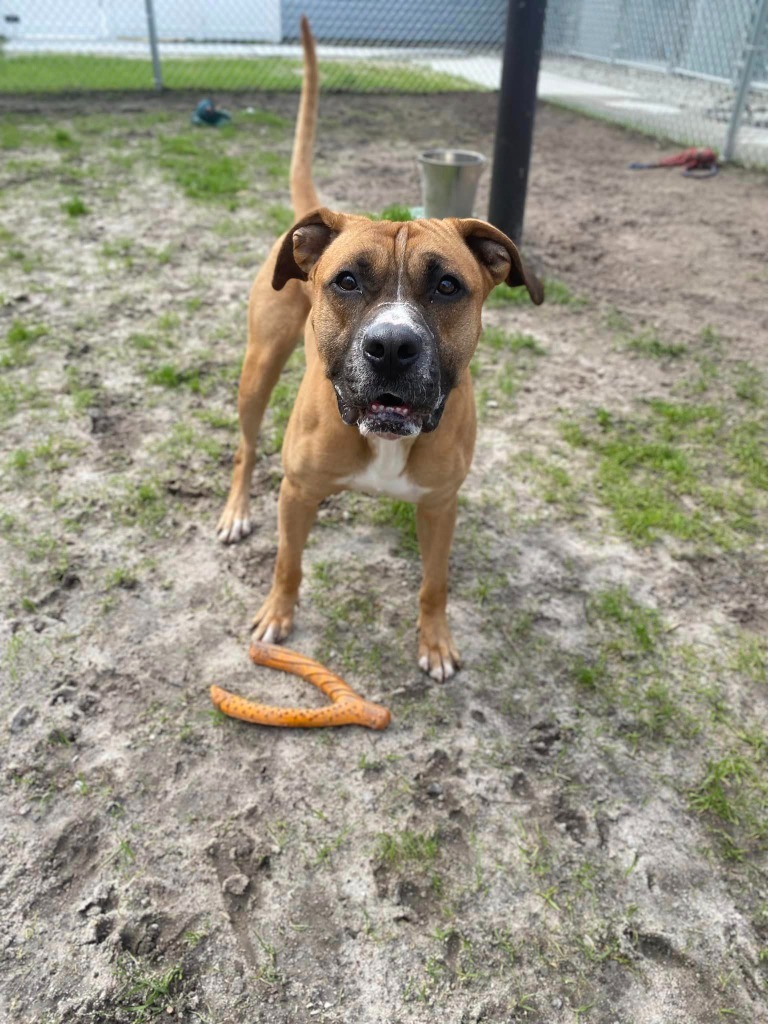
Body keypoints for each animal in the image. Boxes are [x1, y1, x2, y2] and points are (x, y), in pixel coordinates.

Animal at [217, 18, 540, 679]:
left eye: (448, 286)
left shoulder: (441, 506)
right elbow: (287, 562)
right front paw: (277, 616)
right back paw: (236, 510)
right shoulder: (296, 492)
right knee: (245, 446)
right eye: (347, 281)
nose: (391, 346)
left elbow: (434, 583)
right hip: (258, 370)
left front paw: (435, 641)